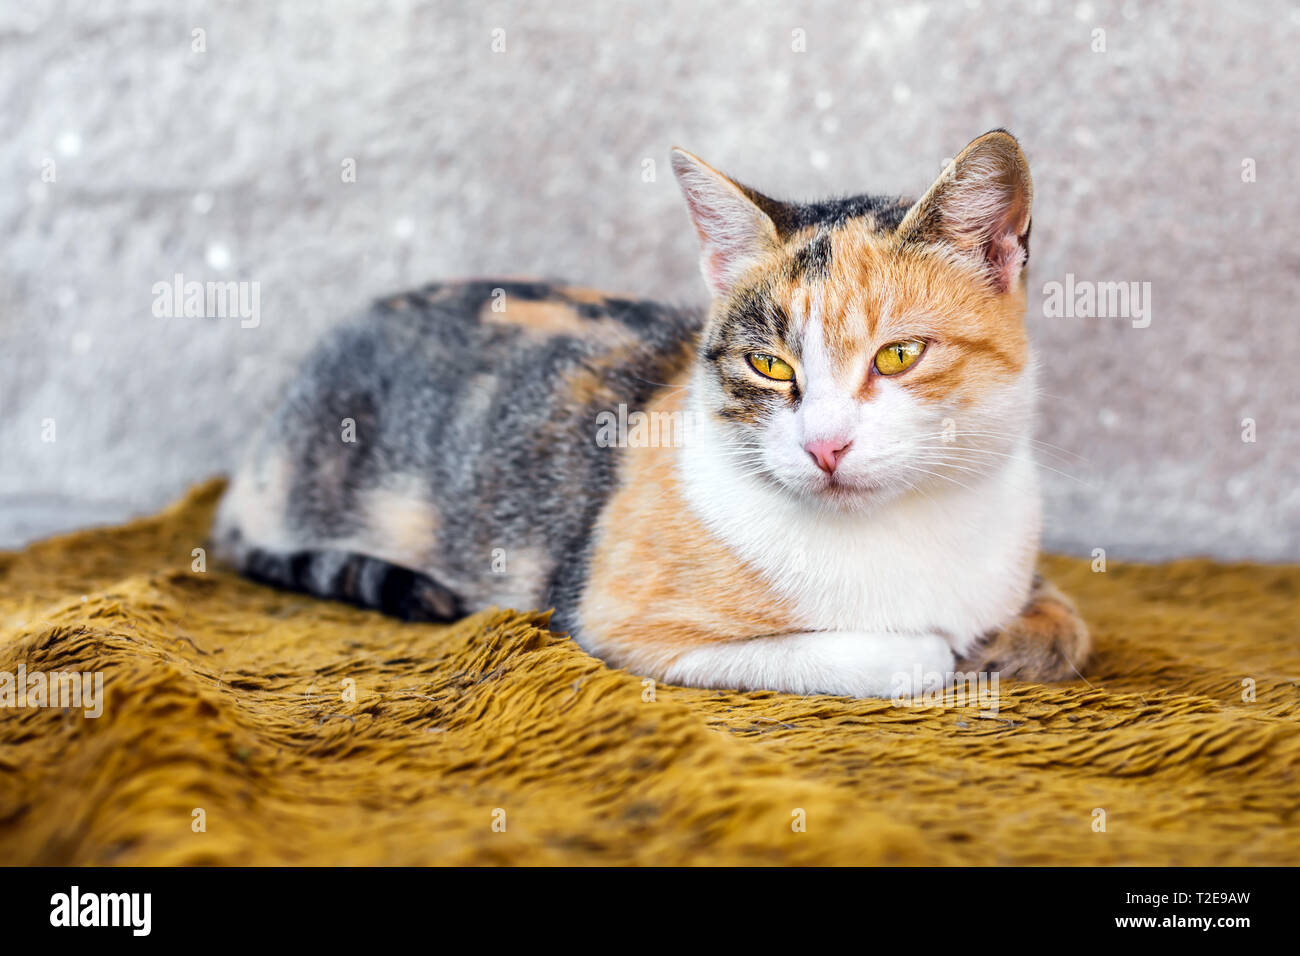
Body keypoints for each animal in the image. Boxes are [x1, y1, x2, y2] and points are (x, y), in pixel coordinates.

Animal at [213, 128, 1086, 697]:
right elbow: (896, 656)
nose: (825, 446)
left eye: (898, 355)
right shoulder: (617, 622)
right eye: (769, 365)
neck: (903, 530)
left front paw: (1018, 635)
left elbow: (1065, 625)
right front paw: (942, 652)